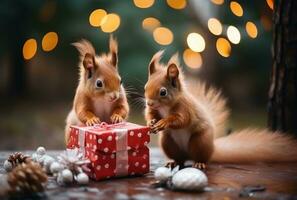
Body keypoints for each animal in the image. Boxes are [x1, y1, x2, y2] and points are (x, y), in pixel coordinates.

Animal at [144, 50, 296, 169]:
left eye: (163, 92)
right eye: (146, 87)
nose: (149, 103)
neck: (165, 107)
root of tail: (213, 149)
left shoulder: (186, 108)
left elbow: (181, 120)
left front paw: (164, 122)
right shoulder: (155, 110)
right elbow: (151, 115)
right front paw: (151, 123)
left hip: (200, 141)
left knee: (201, 157)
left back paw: (199, 163)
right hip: (168, 143)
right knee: (179, 159)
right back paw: (173, 162)